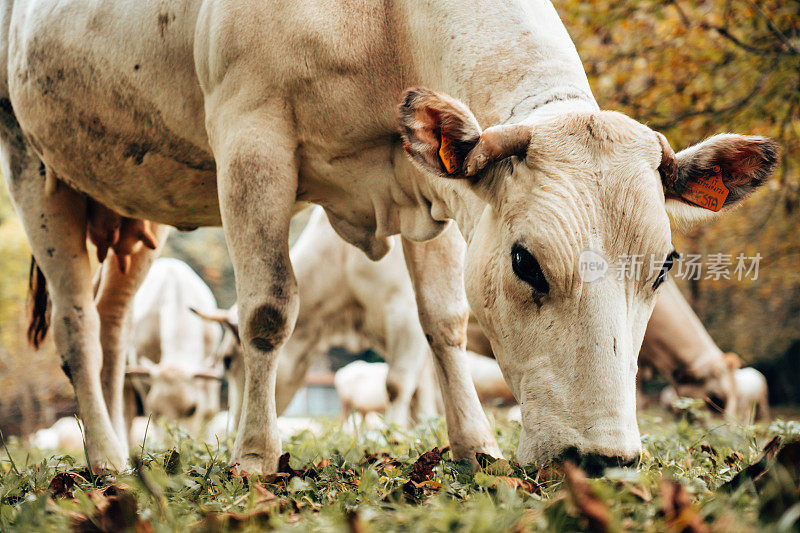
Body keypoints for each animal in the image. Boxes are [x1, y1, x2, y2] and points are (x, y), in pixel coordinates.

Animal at [0, 0, 776, 470]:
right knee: (76, 327)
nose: (604, 459)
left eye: (664, 266)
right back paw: (106, 460)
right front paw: (253, 458)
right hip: (30, 161)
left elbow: (446, 319)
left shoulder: (429, 182)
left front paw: (476, 447)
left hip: (131, 215)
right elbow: (267, 311)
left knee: (113, 329)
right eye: (526, 261)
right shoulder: (251, 138)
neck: (384, 32)